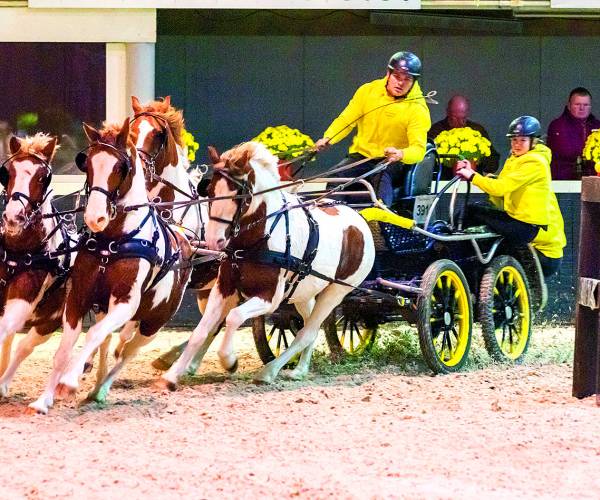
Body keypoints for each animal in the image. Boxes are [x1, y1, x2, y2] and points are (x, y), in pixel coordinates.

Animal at [0, 134, 74, 398]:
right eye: (8, 173)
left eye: (43, 177)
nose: (13, 217)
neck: (18, 252)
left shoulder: (23, 299)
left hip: (48, 323)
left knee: (23, 347)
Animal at [29, 118, 192, 414]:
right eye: (88, 164)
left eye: (120, 167)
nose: (95, 217)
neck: (113, 241)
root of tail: (184, 238)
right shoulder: (78, 298)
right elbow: (65, 350)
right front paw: (43, 400)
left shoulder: (125, 304)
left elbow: (93, 335)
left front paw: (68, 382)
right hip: (106, 309)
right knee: (109, 344)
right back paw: (95, 389)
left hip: (153, 323)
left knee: (126, 353)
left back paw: (105, 387)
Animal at [159, 141, 376, 386]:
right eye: (211, 192)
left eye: (238, 194)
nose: (215, 240)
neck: (258, 239)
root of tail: (359, 218)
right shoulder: (223, 288)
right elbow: (203, 328)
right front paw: (172, 375)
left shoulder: (269, 298)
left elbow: (233, 317)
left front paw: (229, 360)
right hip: (304, 292)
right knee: (309, 324)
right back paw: (299, 369)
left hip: (336, 291)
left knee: (308, 331)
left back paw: (270, 371)